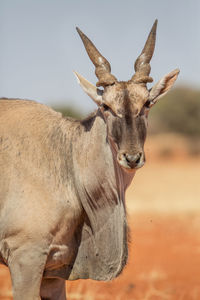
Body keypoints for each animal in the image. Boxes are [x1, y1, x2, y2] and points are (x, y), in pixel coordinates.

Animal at [0, 19, 179, 298]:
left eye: (147, 103)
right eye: (105, 106)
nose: (131, 158)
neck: (66, 153)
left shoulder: (53, 271)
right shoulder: (25, 257)